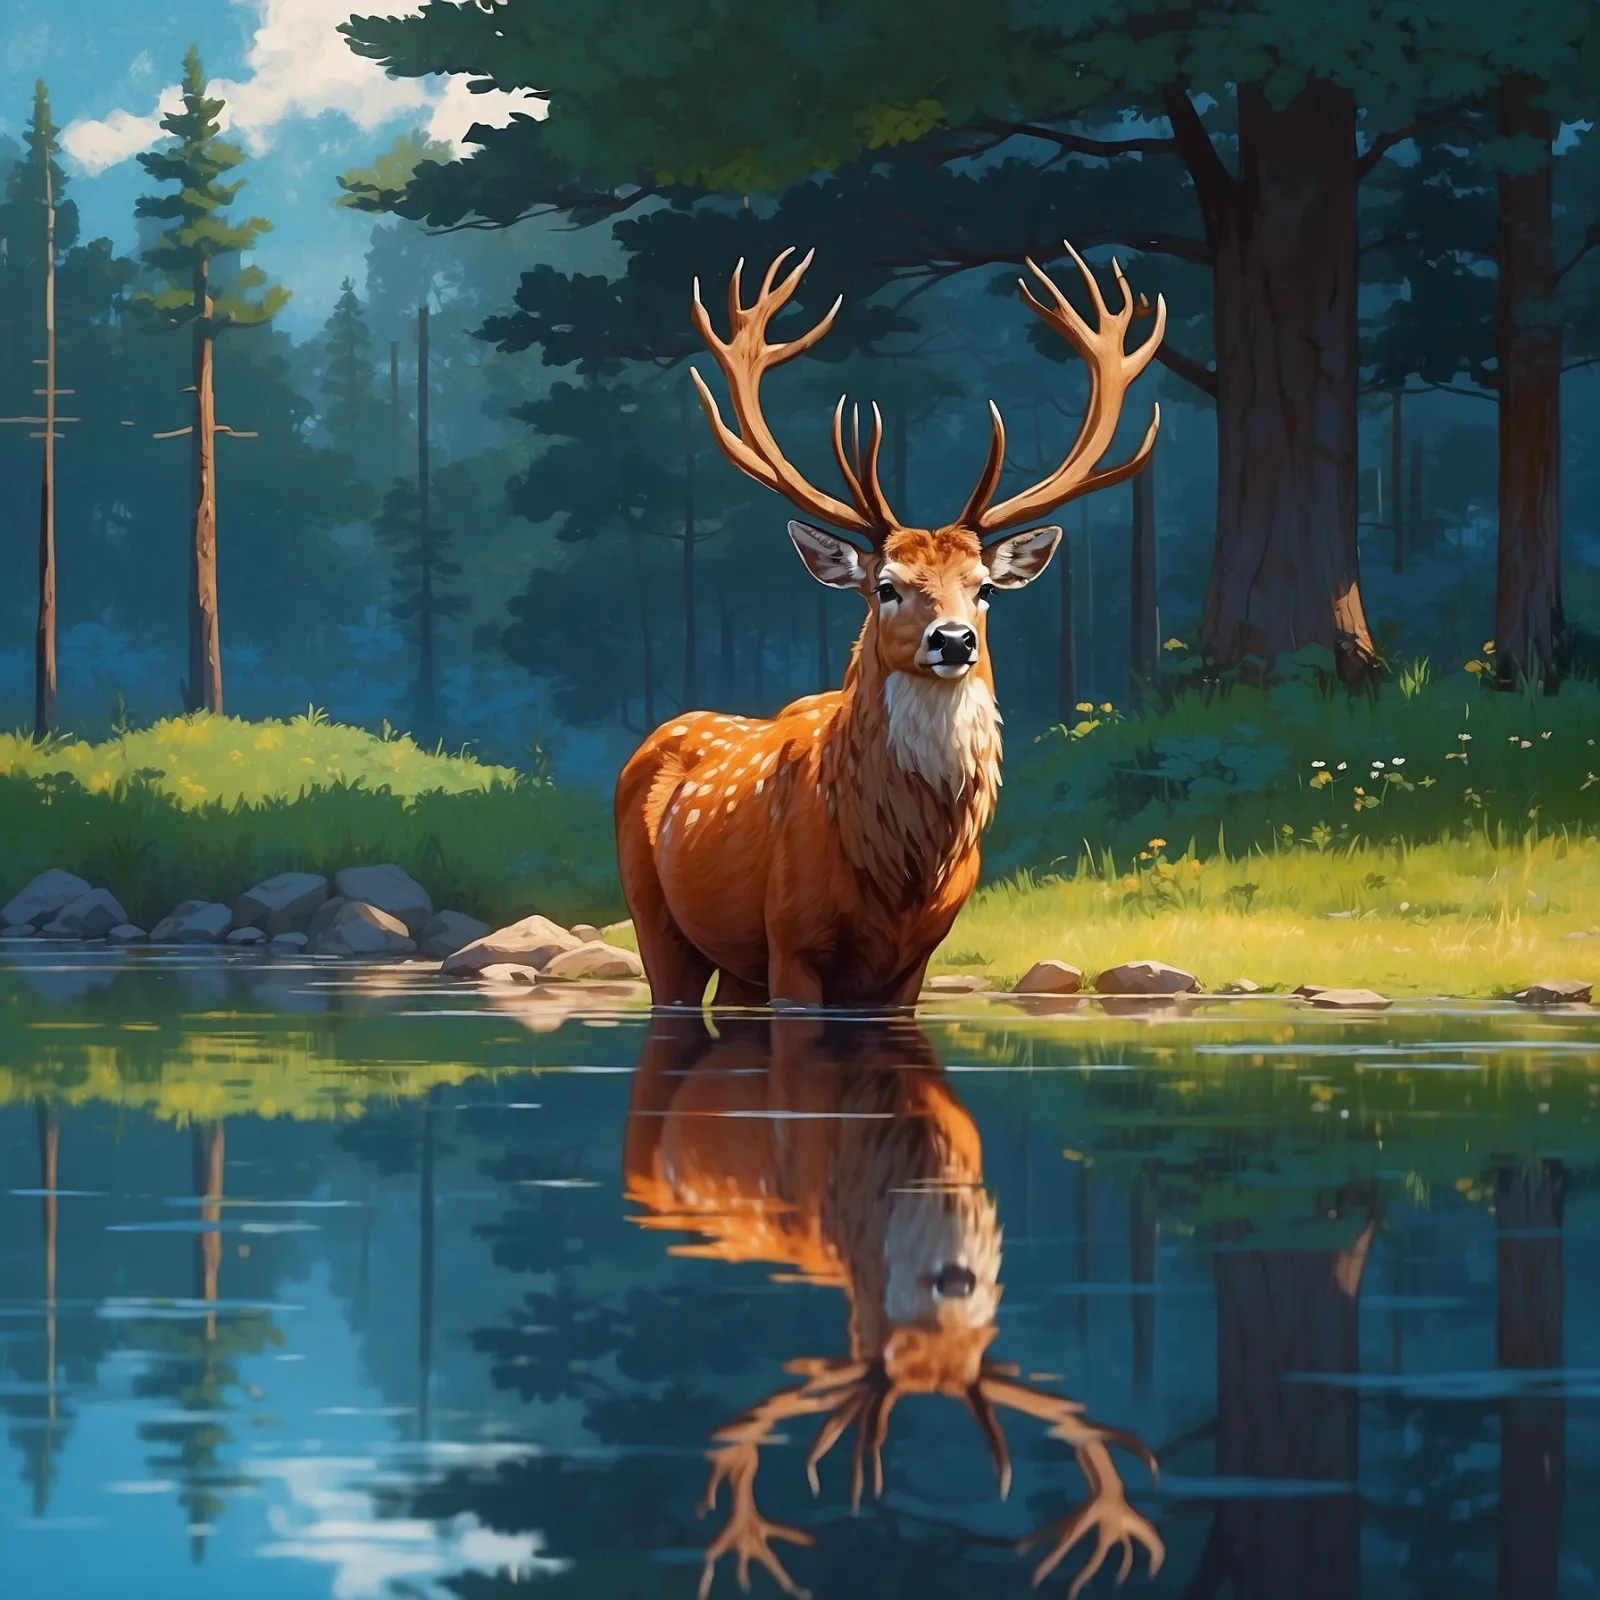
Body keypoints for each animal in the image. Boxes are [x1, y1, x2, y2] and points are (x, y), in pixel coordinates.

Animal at [614, 240, 1164, 1011]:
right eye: (886, 588)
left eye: (984, 588)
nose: (954, 640)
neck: (900, 873)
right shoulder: (792, 939)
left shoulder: (914, 961)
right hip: (655, 918)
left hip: (736, 962)